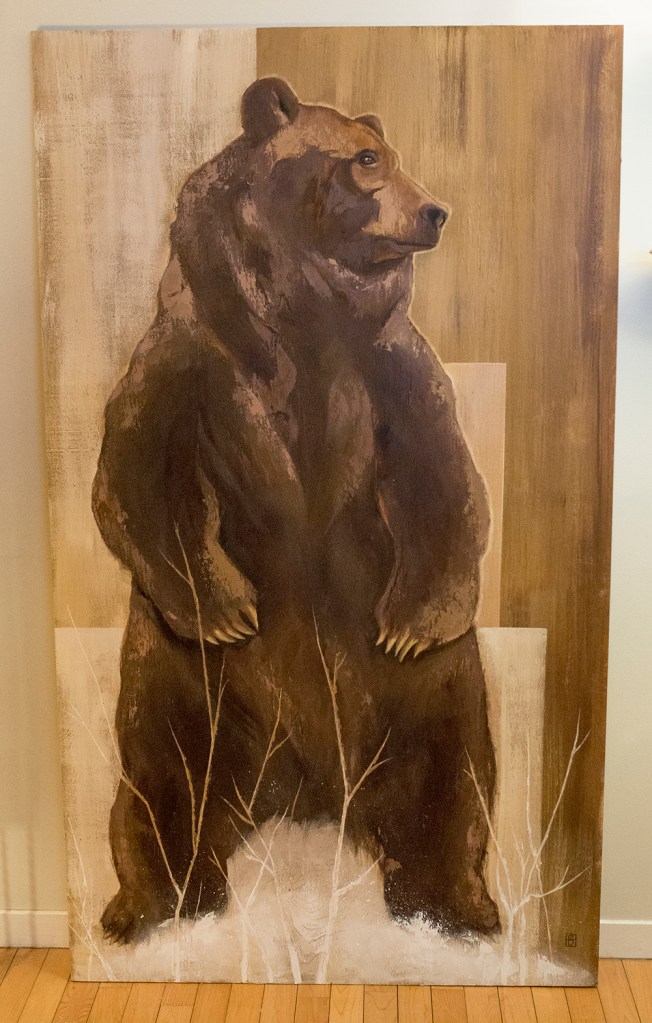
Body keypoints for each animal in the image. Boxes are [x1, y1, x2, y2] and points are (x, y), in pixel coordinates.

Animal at [92, 76, 498, 946]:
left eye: (392, 153)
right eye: (366, 158)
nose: (434, 211)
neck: (305, 312)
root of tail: (310, 791)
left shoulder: (385, 362)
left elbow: (442, 466)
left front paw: (413, 620)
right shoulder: (192, 350)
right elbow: (133, 467)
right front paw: (226, 611)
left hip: (416, 693)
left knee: (449, 759)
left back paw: (453, 903)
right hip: (180, 678)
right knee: (163, 767)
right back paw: (154, 903)